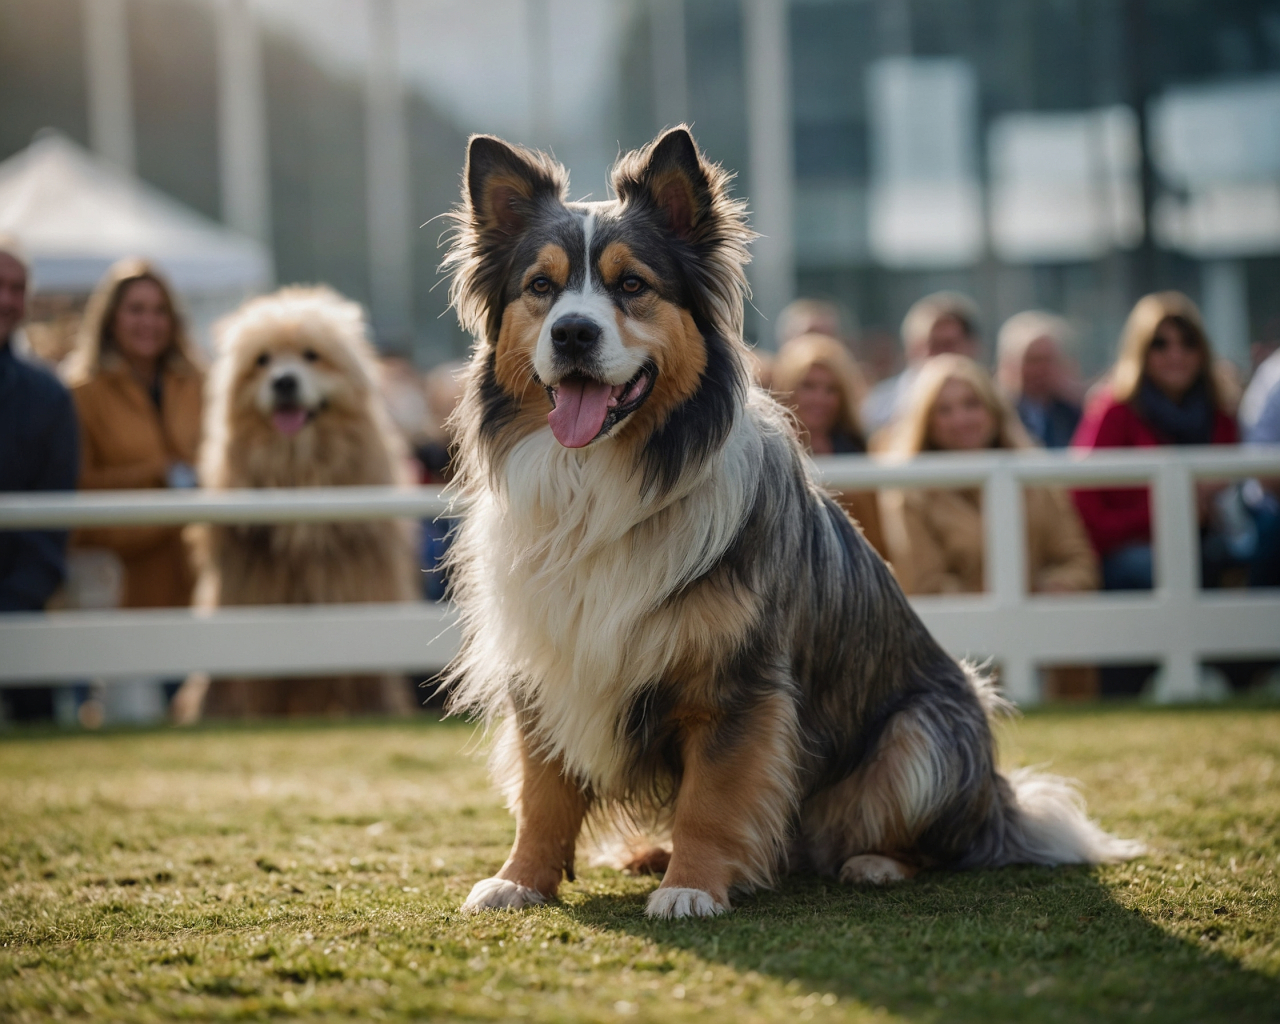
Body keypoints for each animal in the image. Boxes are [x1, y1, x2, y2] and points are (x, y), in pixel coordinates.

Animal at [172, 285, 414, 721]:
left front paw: (375, 708)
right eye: (262, 360)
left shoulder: (356, 582)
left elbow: (365, 666)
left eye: (311, 355)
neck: (298, 474)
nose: (284, 381)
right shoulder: (248, 588)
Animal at [440, 128, 1141, 921]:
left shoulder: (740, 682)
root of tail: (999, 805)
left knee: (925, 839)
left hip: (925, 736)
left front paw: (692, 887)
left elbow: (710, 798)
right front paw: (520, 879)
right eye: (540, 287)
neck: (605, 476)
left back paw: (872, 863)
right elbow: (543, 793)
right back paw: (650, 852)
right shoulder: (545, 659)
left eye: (632, 286)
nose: (573, 334)